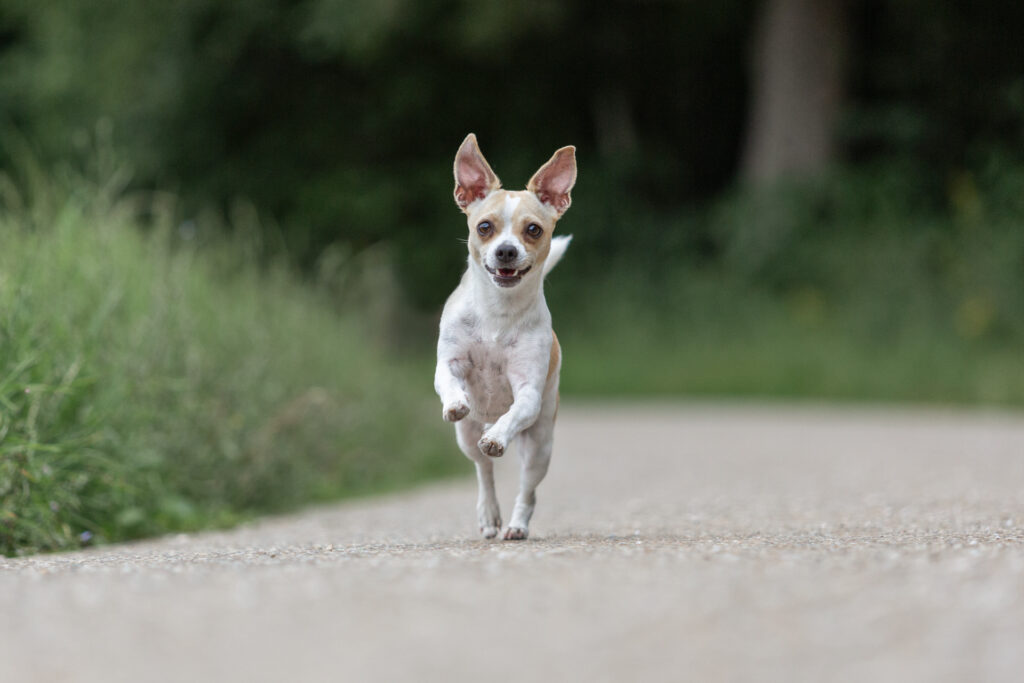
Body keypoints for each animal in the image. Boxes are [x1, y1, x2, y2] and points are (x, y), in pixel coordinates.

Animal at [432, 132, 577, 540]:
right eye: (484, 227)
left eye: (533, 229)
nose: (507, 251)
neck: (498, 313)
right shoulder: (449, 363)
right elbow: (449, 381)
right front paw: (456, 401)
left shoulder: (527, 392)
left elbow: (513, 416)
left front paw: (498, 436)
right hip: (466, 438)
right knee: (483, 470)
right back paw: (488, 514)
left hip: (539, 445)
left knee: (527, 488)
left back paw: (515, 524)